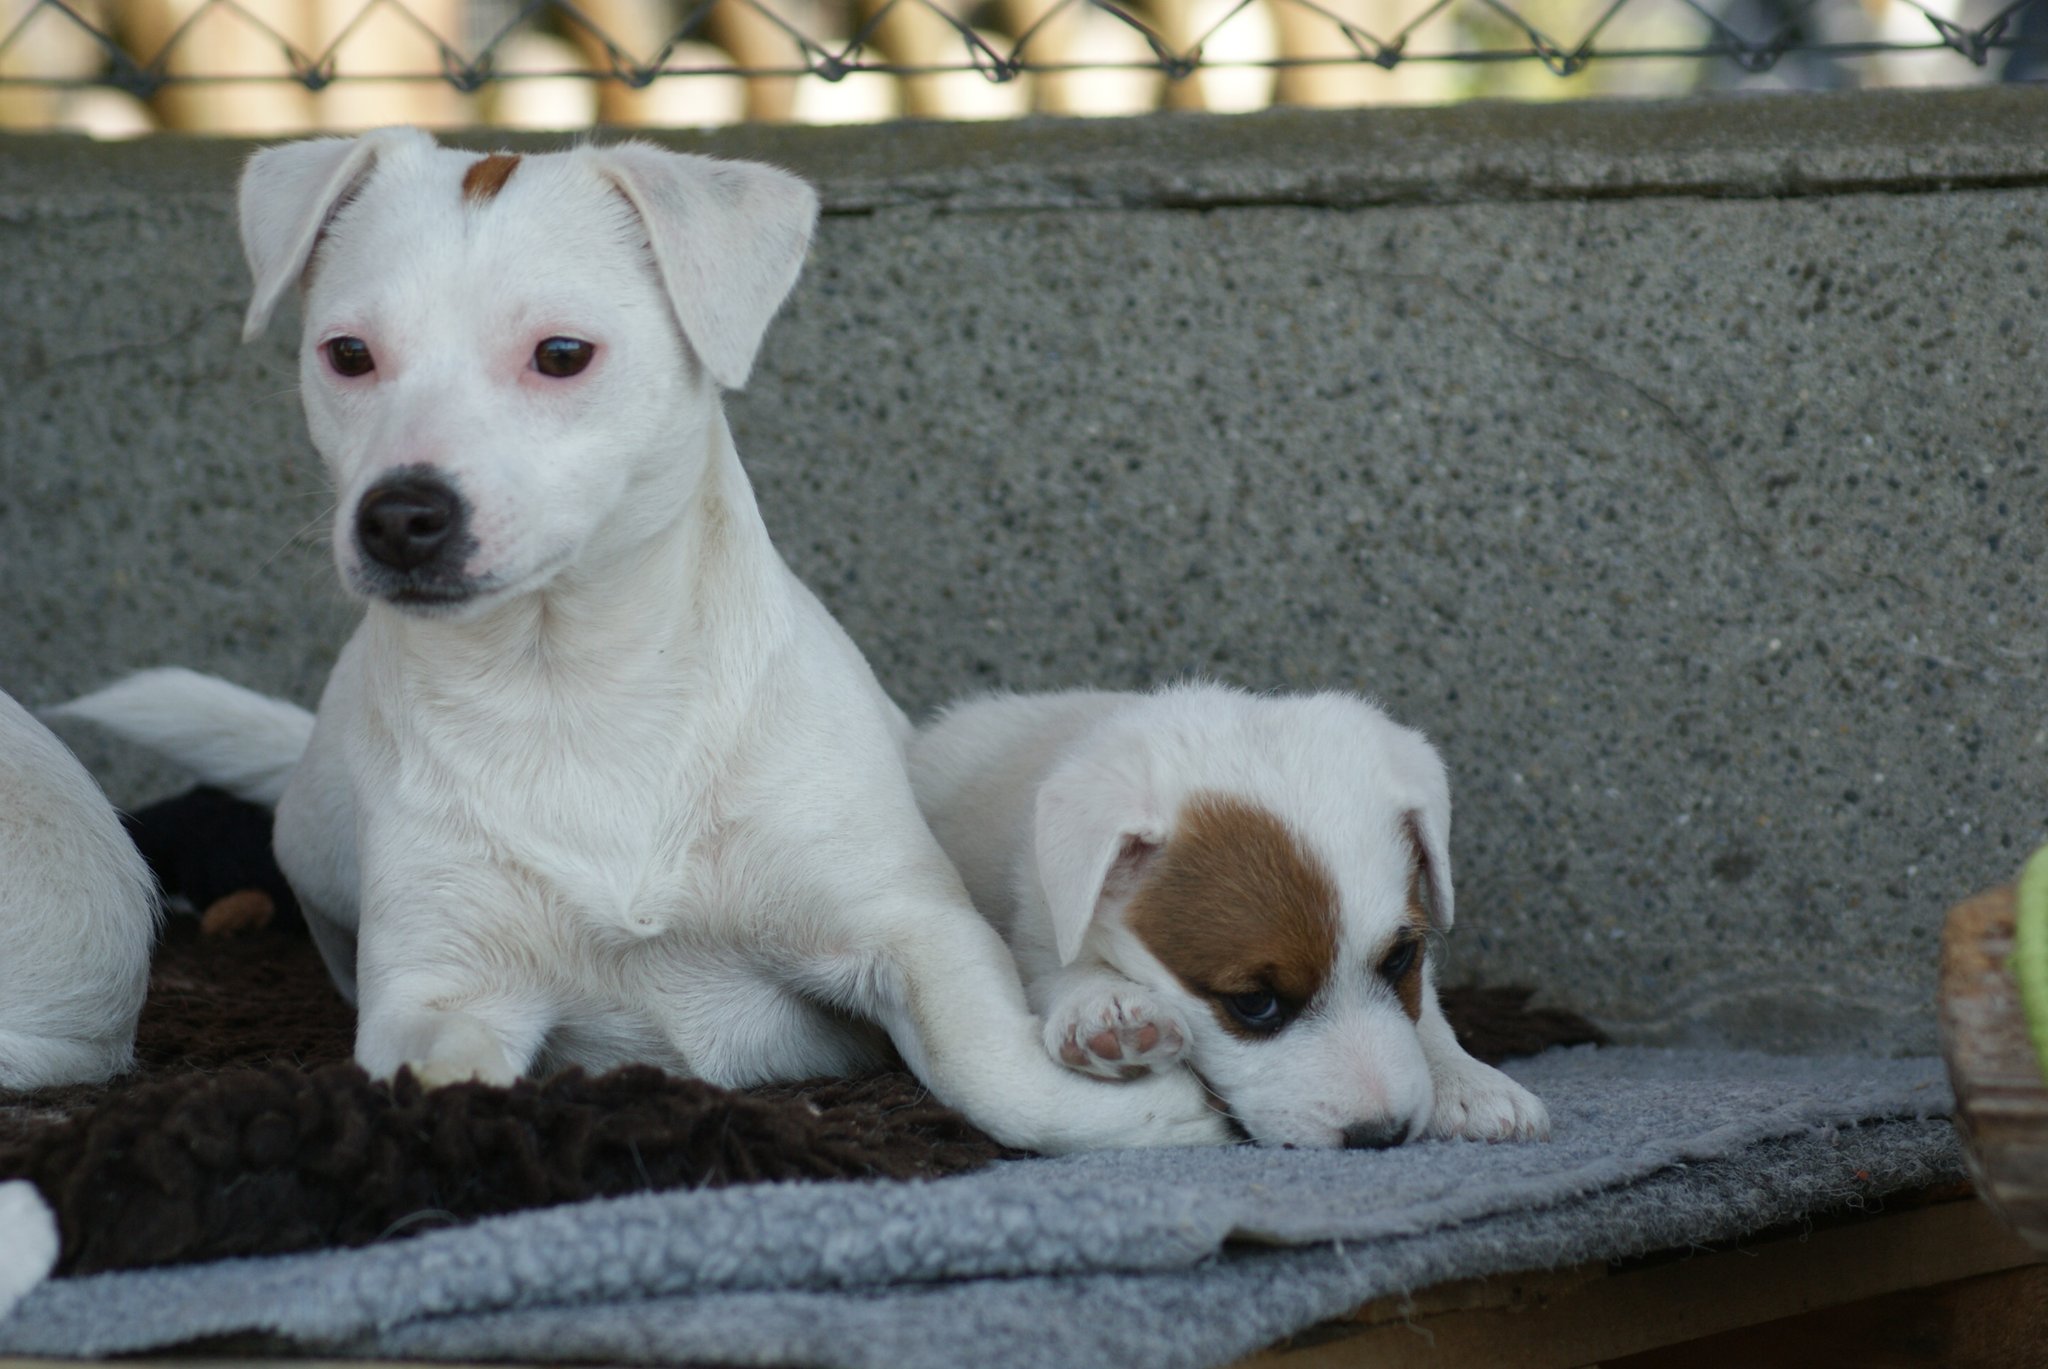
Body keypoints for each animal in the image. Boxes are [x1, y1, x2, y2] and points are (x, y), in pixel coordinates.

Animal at [59, 128, 1226, 1154]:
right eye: (347, 355)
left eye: (561, 355)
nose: (397, 514)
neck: (571, 686)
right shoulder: (441, 992)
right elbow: (434, 1081)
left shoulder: (914, 928)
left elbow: (989, 1063)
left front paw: (1141, 1116)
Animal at [906, 683, 1551, 1148]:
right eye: (1254, 1003)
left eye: (1399, 960)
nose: (1381, 1135)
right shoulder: (1039, 931)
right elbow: (1063, 974)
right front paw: (1106, 1009)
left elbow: (1427, 1015)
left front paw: (1466, 1079)